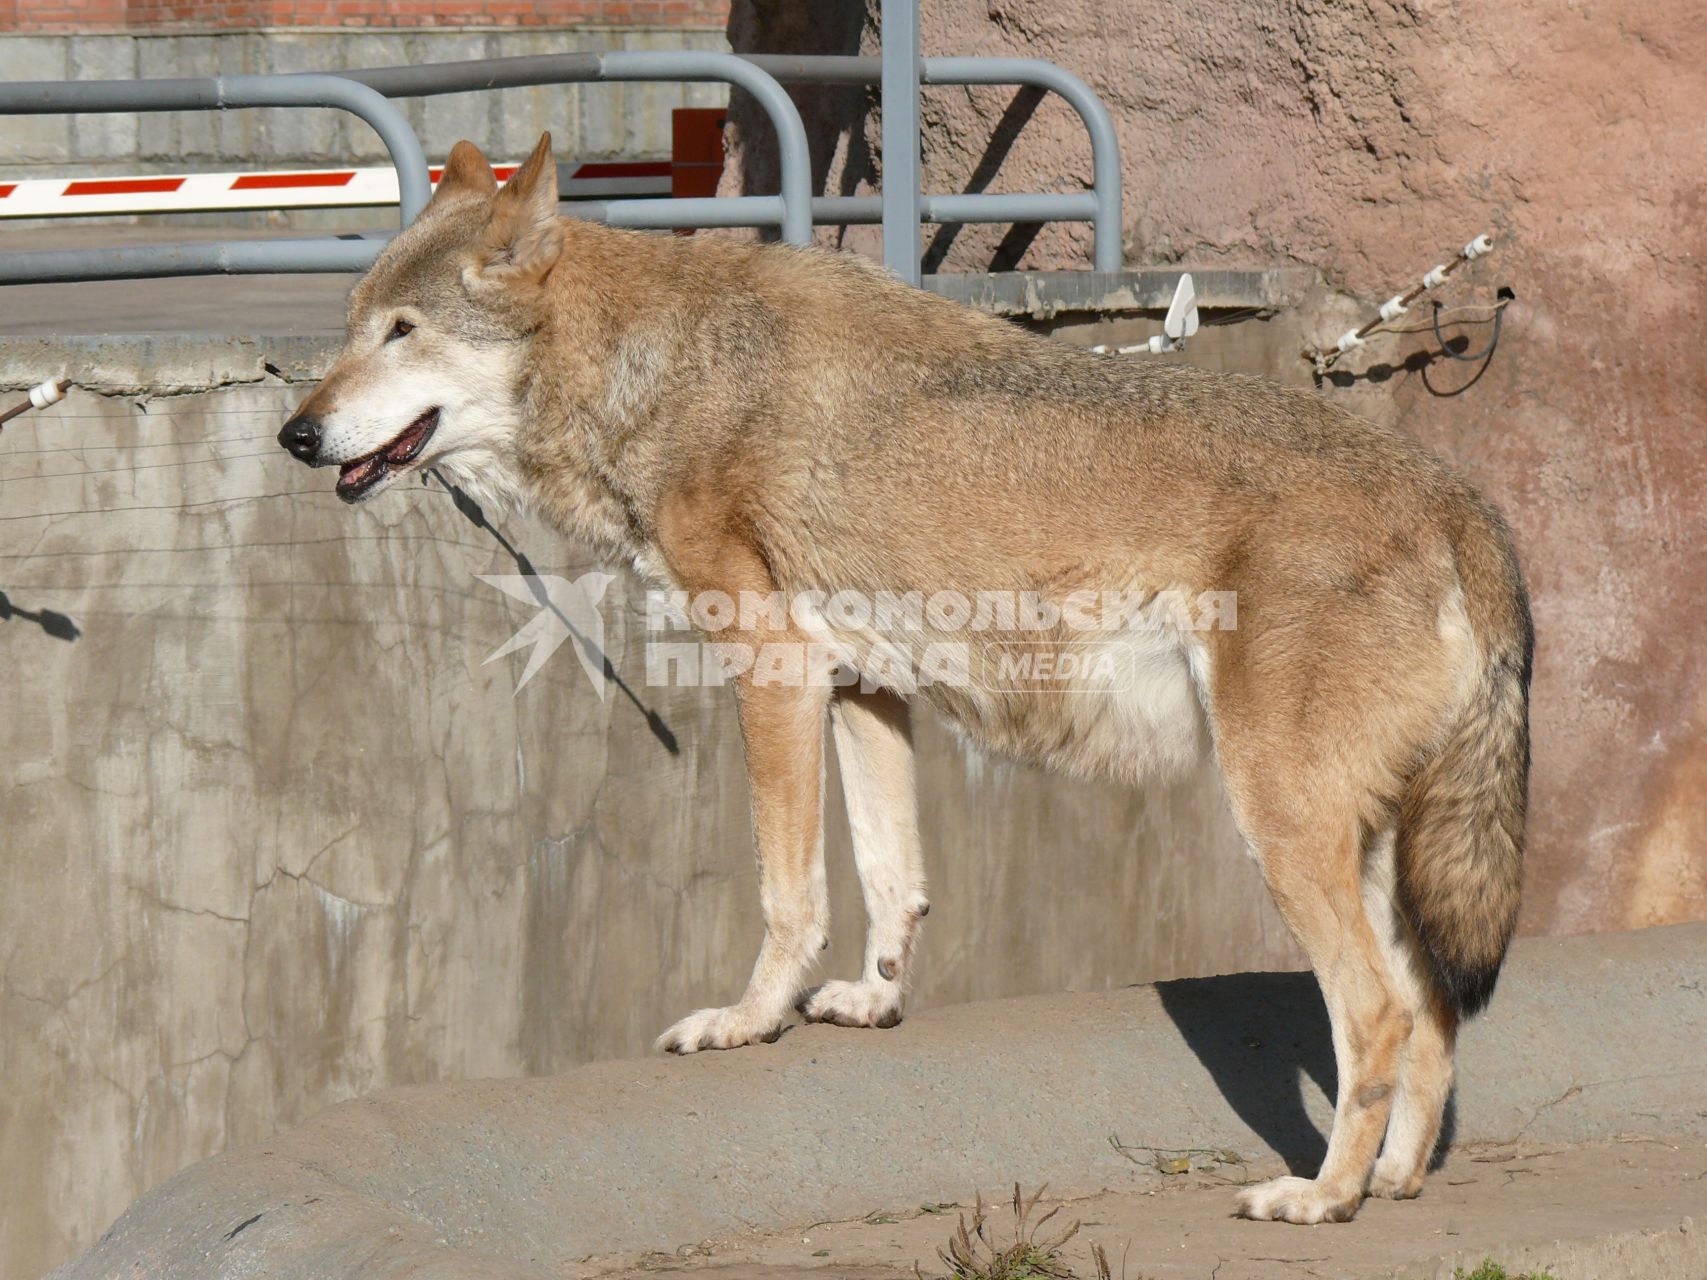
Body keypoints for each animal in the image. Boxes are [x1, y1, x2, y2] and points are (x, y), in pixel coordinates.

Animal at [276, 135, 1536, 1228]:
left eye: (403, 330)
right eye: (351, 329)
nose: (294, 432)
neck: (665, 364)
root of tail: (1461, 502)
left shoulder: (774, 672)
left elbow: (790, 895)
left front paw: (748, 1019)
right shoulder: (861, 687)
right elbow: (896, 879)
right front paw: (874, 1001)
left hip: (1282, 823)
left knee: (1376, 1013)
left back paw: (1321, 1197)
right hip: (1364, 845)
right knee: (1434, 1012)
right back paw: (1397, 1181)